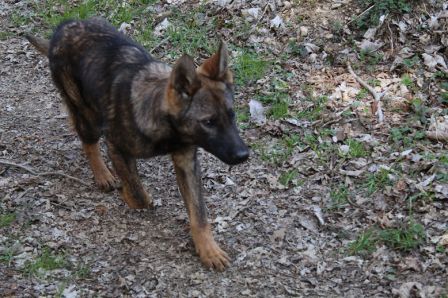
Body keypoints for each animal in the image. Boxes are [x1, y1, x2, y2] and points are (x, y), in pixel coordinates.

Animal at [26, 17, 250, 272]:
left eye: (232, 115)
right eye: (209, 122)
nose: (244, 155)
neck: (166, 127)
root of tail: (62, 28)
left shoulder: (187, 163)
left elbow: (199, 213)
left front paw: (208, 249)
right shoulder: (116, 147)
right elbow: (138, 193)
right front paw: (129, 195)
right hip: (89, 116)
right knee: (87, 141)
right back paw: (103, 174)